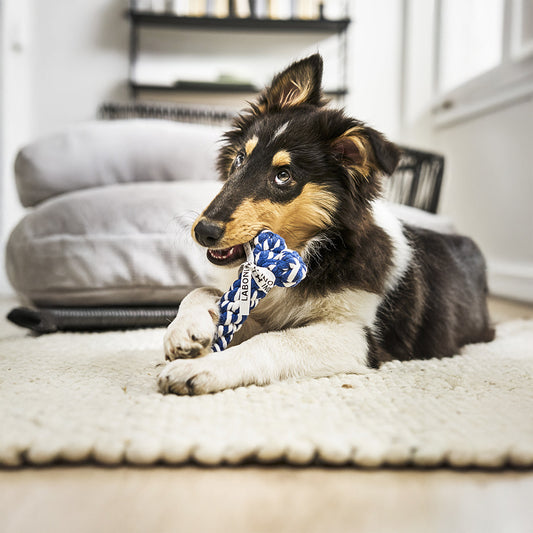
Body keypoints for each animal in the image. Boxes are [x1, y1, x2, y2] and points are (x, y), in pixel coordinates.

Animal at [158, 54, 494, 394]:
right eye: (240, 158)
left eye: (283, 176)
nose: (204, 232)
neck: (316, 251)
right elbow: (204, 290)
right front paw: (186, 332)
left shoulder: (357, 335)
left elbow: (273, 341)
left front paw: (199, 369)